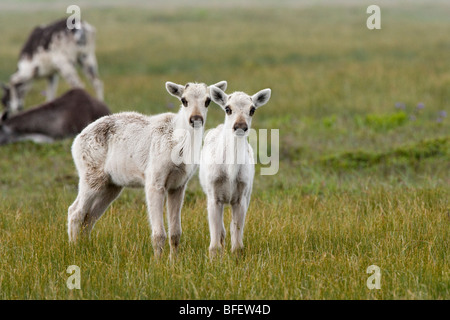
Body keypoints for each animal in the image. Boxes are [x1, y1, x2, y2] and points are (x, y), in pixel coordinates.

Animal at [67, 81, 227, 258]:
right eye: (184, 100)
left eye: (207, 101)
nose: (196, 119)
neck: (180, 147)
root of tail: (76, 142)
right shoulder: (154, 181)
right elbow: (159, 234)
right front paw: (158, 262)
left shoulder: (178, 185)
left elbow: (175, 232)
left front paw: (174, 261)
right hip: (91, 177)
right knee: (75, 212)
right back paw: (74, 250)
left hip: (112, 185)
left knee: (90, 216)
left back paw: (85, 248)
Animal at [200, 85, 270, 258]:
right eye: (227, 108)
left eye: (252, 109)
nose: (240, 126)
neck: (230, 172)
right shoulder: (213, 195)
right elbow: (214, 242)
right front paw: (214, 258)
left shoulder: (241, 197)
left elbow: (237, 240)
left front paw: (236, 256)